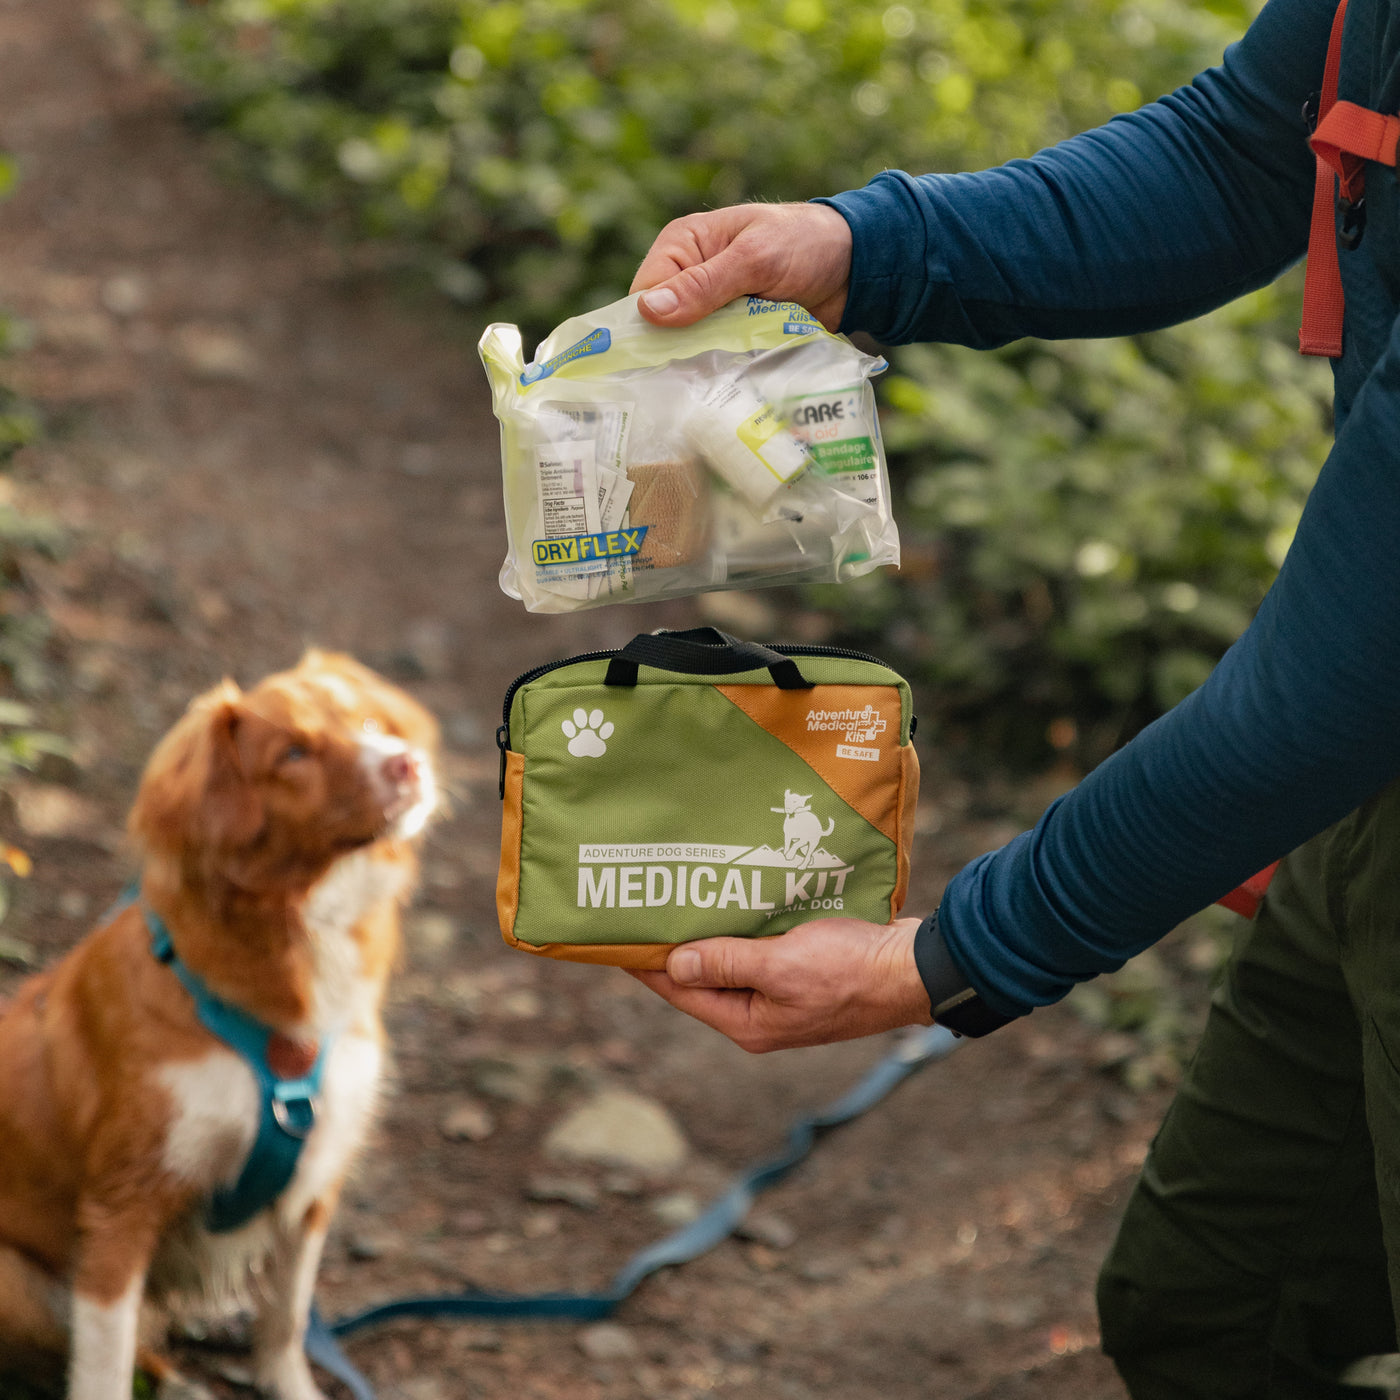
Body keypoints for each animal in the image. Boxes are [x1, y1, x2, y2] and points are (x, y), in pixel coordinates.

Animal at [0, 649, 436, 1394]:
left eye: (371, 723)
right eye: (294, 754)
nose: (405, 762)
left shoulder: (314, 1183)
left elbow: (286, 1319)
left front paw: (292, 1388)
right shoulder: (121, 1210)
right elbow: (104, 1363)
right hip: (15, 1281)